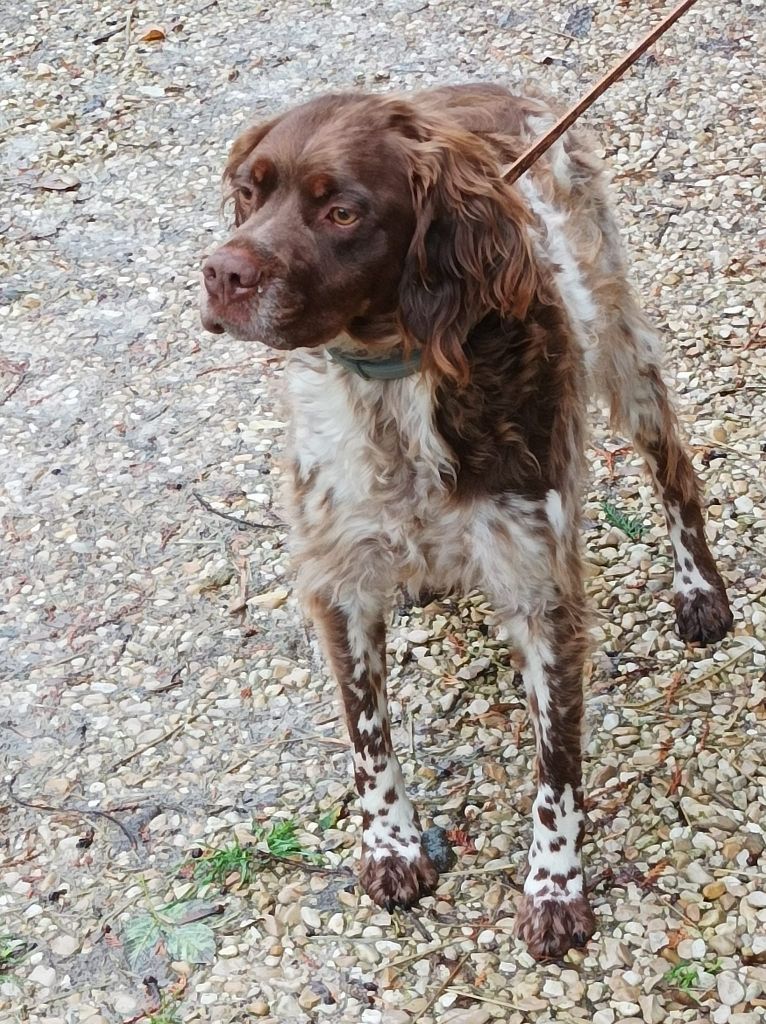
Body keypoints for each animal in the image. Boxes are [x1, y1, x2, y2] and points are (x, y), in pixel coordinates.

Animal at [200, 86, 733, 958]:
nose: (222, 272)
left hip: (620, 346)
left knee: (675, 471)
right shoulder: (339, 579)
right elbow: (368, 737)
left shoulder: (543, 586)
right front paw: (391, 845)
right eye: (251, 192)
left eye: (342, 211)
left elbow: (557, 768)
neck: (393, 381)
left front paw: (554, 887)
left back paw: (698, 589)